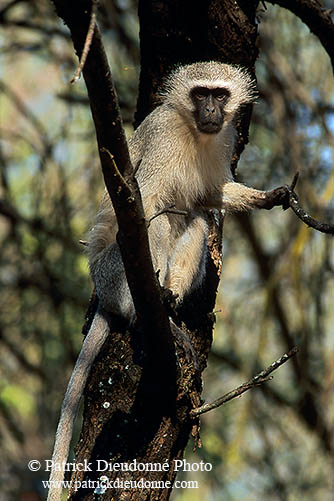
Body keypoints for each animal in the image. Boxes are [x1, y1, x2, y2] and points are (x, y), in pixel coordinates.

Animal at [47, 60, 290, 498]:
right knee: (155, 223)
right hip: (115, 272)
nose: (210, 110)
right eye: (200, 94)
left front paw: (266, 197)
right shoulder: (162, 137)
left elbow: (210, 195)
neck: (195, 133)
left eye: (220, 95)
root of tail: (104, 293)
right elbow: (145, 202)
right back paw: (153, 311)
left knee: (196, 219)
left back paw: (172, 303)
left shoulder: (225, 138)